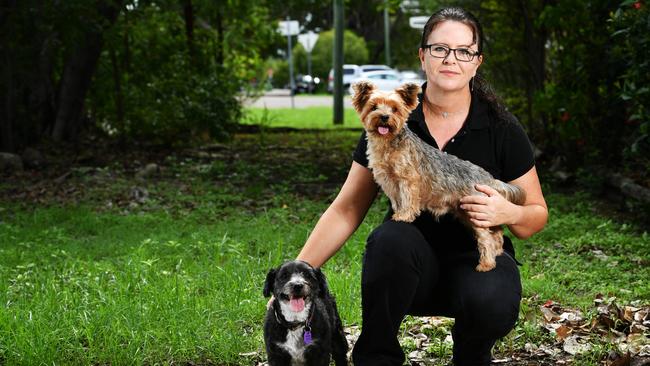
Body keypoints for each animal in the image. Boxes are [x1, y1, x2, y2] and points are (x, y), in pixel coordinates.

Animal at [352, 82, 524, 272]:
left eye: (395, 109)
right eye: (373, 107)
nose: (384, 117)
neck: (388, 143)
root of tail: (488, 178)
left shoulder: (407, 179)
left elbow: (407, 199)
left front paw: (404, 216)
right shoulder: (389, 182)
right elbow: (397, 201)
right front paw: (398, 213)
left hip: (477, 211)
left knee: (486, 238)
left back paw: (486, 263)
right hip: (468, 212)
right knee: (496, 231)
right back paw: (498, 251)